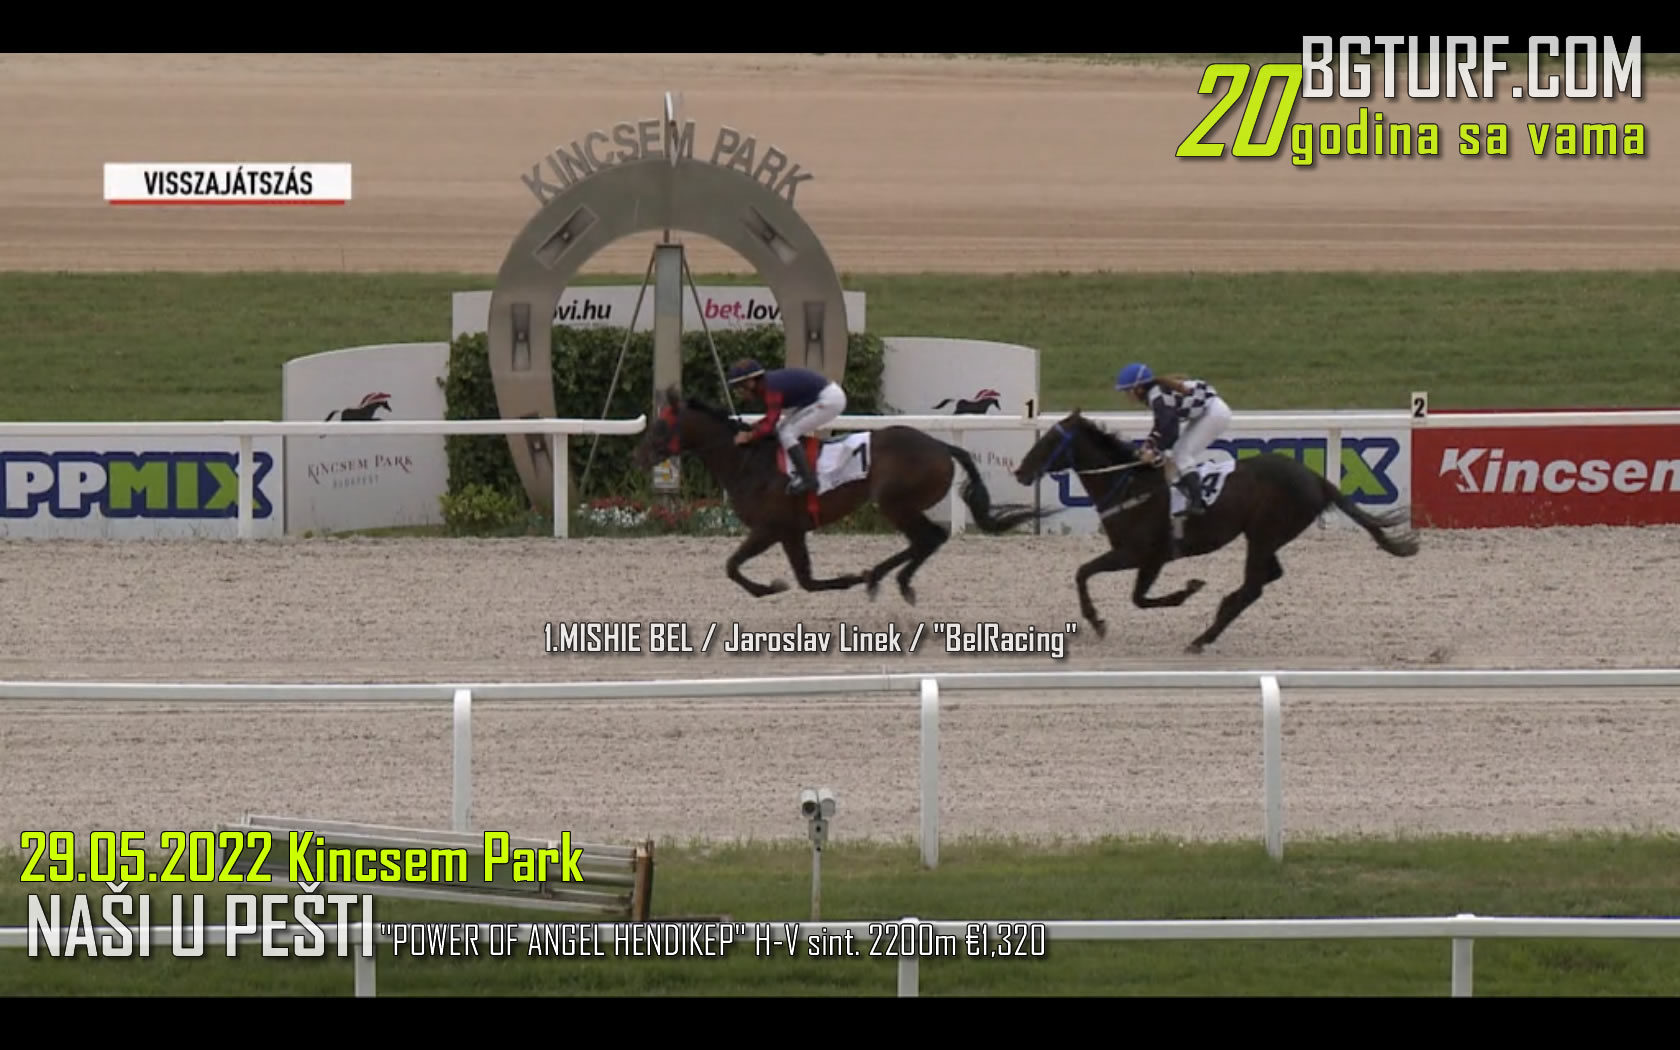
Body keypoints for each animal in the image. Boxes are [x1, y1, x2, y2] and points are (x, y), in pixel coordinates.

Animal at [631, 385, 1054, 603]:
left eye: (661, 426)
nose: (640, 455)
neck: (747, 460)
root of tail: (941, 445)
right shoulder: (791, 531)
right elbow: (804, 579)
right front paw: (794, 583)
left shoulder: (770, 528)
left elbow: (733, 566)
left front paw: (769, 587)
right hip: (900, 504)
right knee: (927, 540)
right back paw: (880, 577)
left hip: (895, 502)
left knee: (930, 537)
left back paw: (885, 578)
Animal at [1013, 410, 1420, 653]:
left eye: (1049, 441)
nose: (1020, 472)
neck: (1129, 484)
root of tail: (1316, 478)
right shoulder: (1141, 556)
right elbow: (1095, 578)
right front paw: (1099, 620)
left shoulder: (1144, 554)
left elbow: (1118, 588)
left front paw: (1102, 619)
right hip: (1265, 536)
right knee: (1268, 576)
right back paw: (1220, 611)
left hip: (1264, 533)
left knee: (1255, 585)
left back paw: (1203, 636)